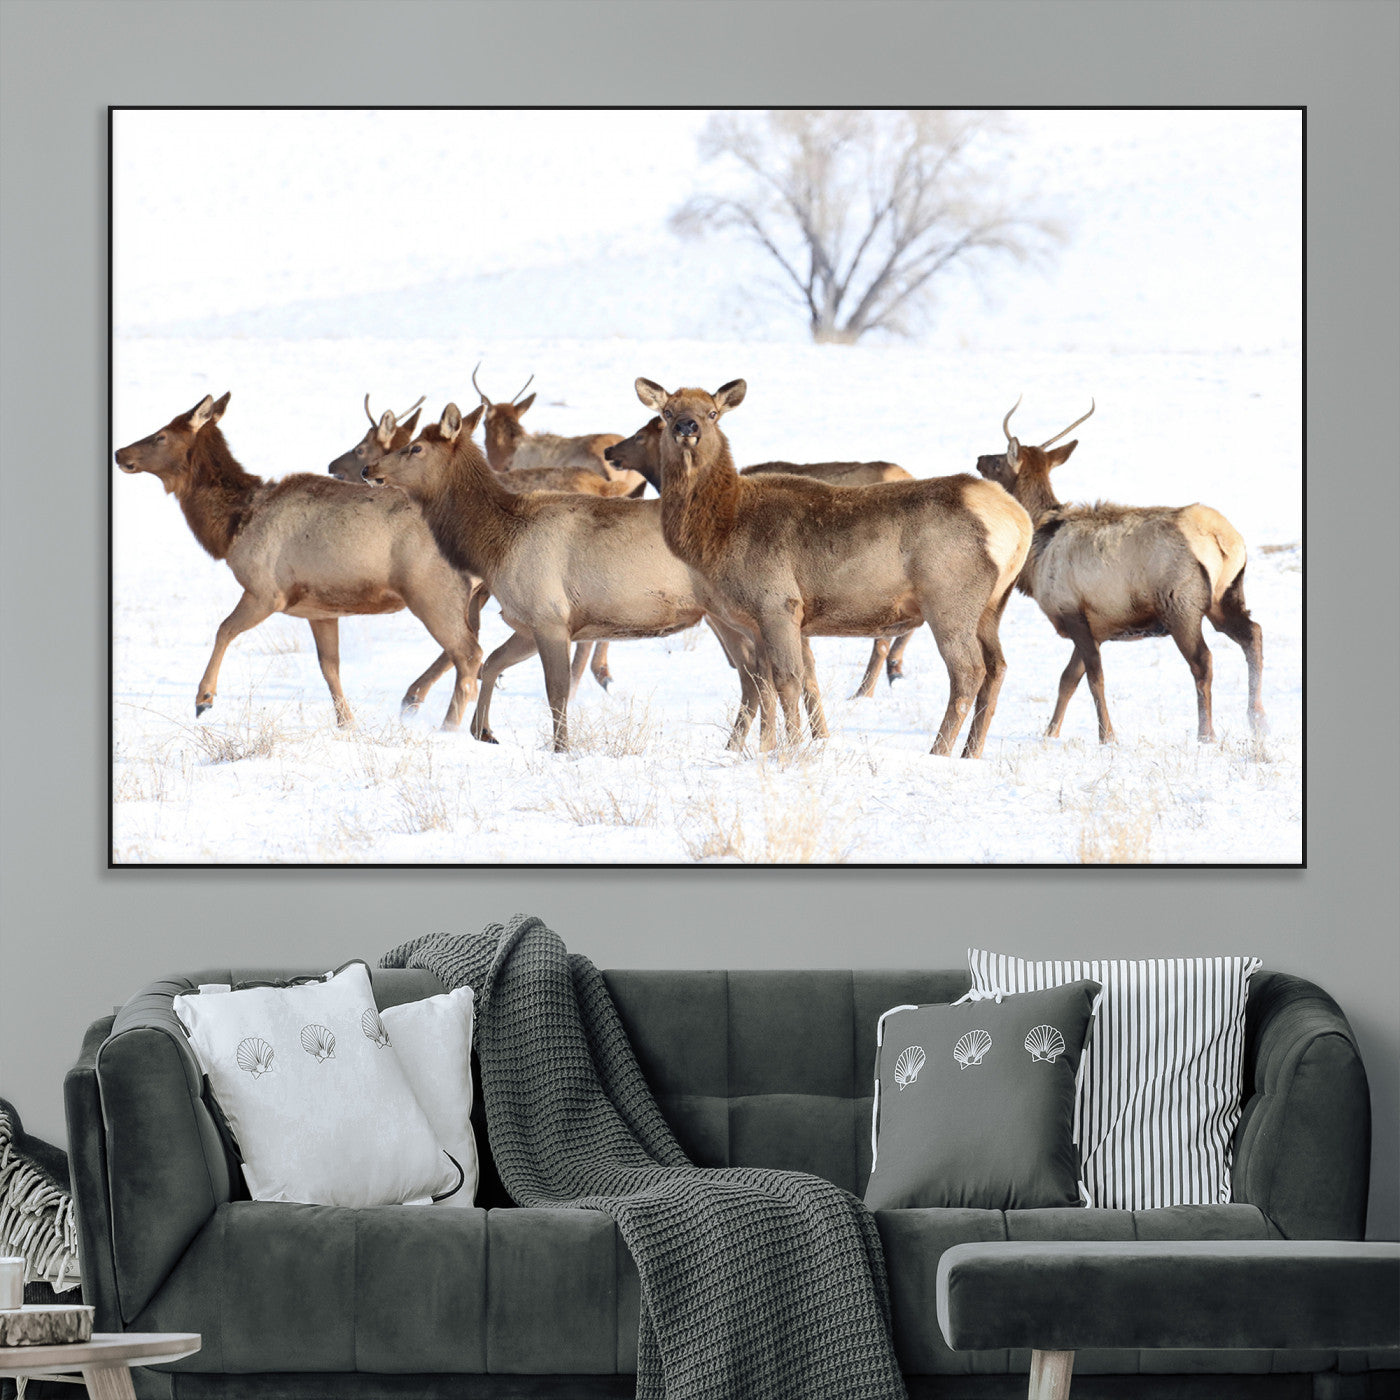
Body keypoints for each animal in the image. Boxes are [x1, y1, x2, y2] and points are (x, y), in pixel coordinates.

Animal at [115, 393, 484, 730]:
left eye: (161, 435)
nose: (120, 453)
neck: (233, 526)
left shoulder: (266, 591)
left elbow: (223, 630)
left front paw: (204, 698)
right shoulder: (320, 609)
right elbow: (330, 667)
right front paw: (347, 724)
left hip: (431, 590)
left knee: (469, 654)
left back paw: (448, 726)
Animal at [362, 402, 794, 754]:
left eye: (415, 448)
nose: (369, 469)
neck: (495, 545)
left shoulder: (549, 615)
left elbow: (556, 690)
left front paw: (560, 747)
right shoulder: (529, 622)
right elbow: (492, 664)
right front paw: (483, 731)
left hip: (739, 608)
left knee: (760, 675)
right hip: (724, 616)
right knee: (753, 676)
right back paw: (736, 745)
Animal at [975, 399, 1266, 743]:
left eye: (998, 463)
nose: (979, 458)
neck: (1038, 549)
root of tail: (1223, 538)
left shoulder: (1073, 611)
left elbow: (1094, 678)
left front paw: (1107, 736)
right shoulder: (1097, 626)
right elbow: (1068, 680)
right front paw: (1050, 732)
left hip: (1180, 604)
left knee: (1203, 660)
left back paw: (1205, 733)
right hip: (1226, 595)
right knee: (1253, 634)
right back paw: (1258, 719)